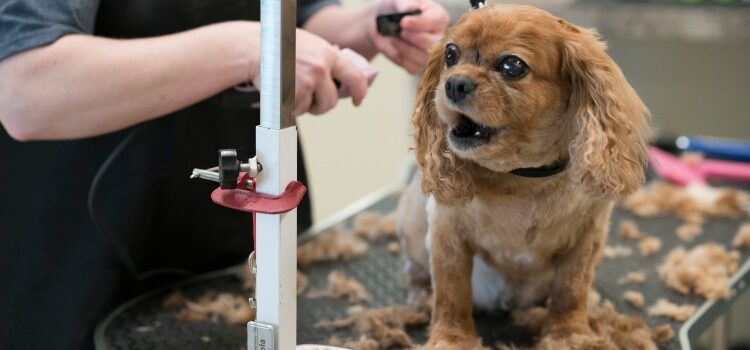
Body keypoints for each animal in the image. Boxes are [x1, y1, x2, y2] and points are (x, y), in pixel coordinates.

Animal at [400, 4, 652, 348]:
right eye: (451, 54)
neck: (525, 177)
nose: (454, 83)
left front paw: (569, 334)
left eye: (512, 65)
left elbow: (570, 291)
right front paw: (451, 339)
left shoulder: (587, 238)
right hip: (412, 224)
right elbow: (452, 294)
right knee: (418, 273)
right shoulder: (446, 232)